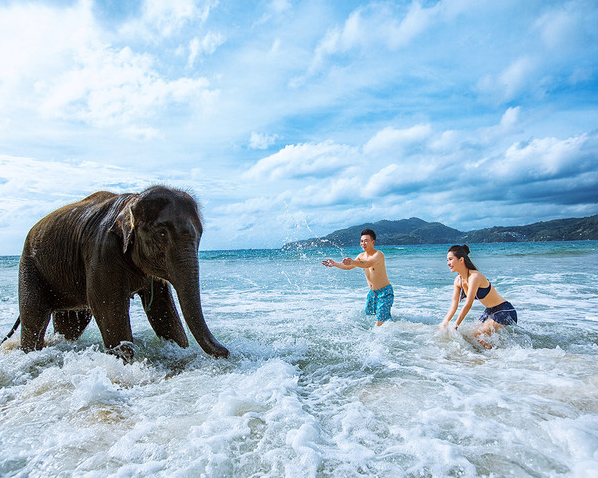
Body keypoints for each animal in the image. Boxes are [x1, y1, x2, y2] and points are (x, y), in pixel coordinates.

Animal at [17, 185, 230, 360]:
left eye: (199, 235)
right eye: (162, 234)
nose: (226, 352)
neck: (130, 201)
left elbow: (162, 308)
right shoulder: (101, 250)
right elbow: (107, 305)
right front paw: (126, 360)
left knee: (71, 323)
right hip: (30, 265)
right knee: (34, 317)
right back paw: (31, 352)